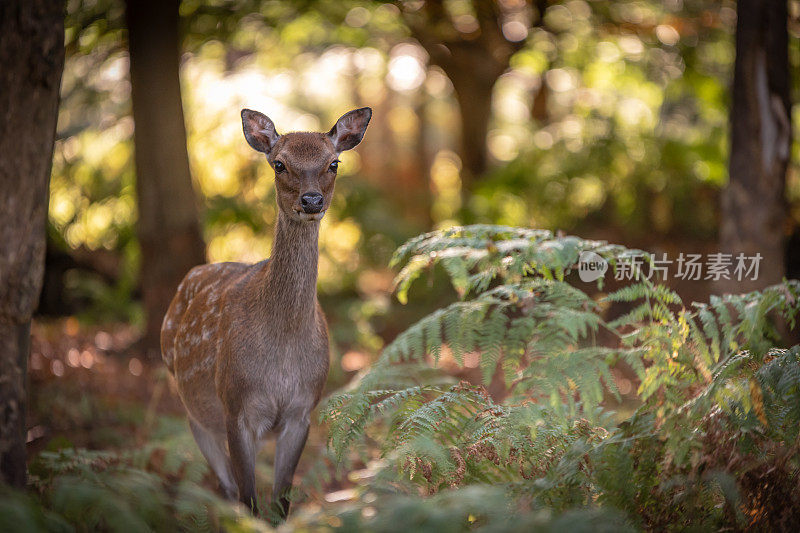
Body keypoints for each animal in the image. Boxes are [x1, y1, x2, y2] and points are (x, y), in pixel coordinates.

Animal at [162, 107, 376, 520]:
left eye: (334, 163)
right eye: (279, 164)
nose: (312, 200)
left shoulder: (302, 410)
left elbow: (280, 506)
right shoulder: (235, 408)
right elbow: (250, 503)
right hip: (194, 413)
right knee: (228, 494)